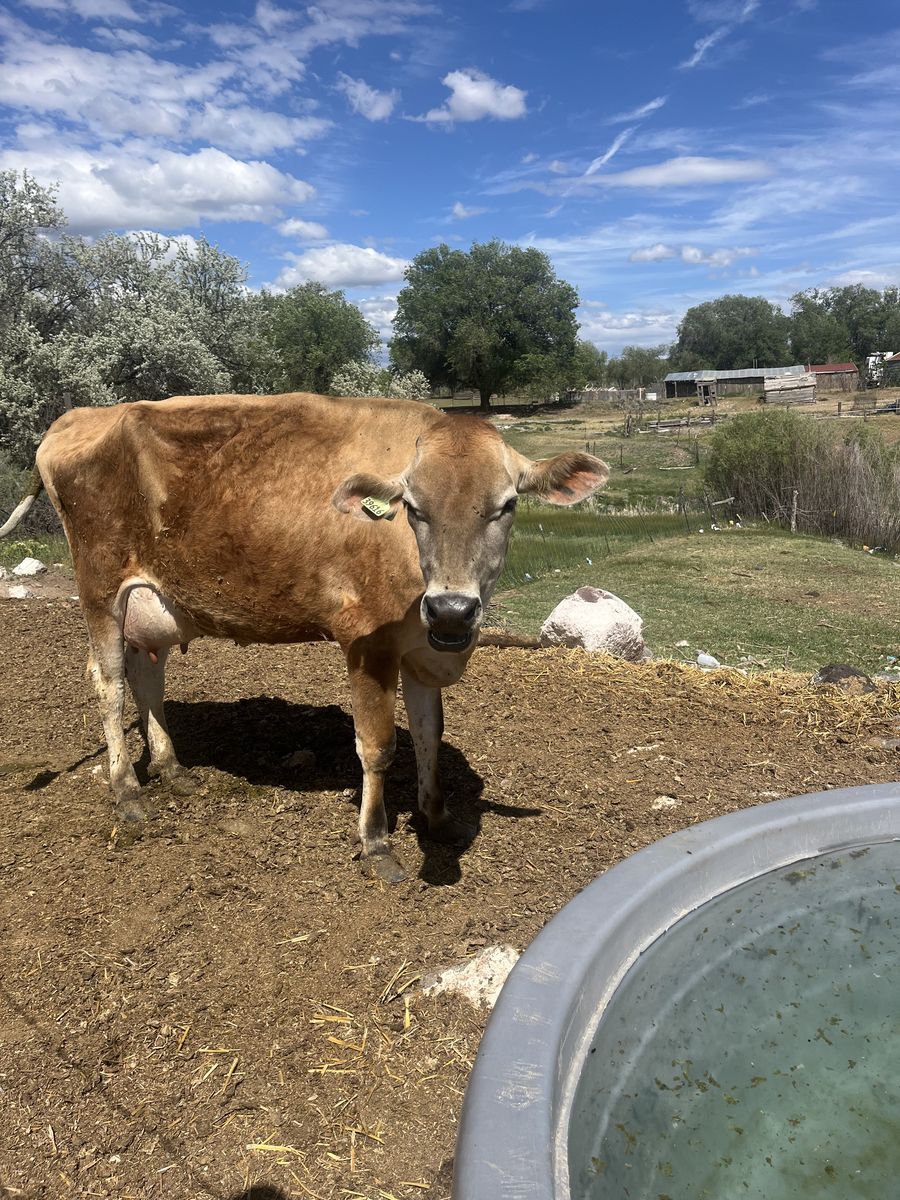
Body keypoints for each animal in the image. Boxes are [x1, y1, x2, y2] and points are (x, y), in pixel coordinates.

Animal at [1, 393, 609, 881]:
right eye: (414, 508)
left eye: (506, 505)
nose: (453, 609)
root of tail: (78, 416)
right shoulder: (368, 642)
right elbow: (378, 746)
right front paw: (377, 843)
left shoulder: (422, 649)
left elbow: (430, 734)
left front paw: (436, 817)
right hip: (100, 585)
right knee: (109, 682)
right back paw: (127, 792)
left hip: (155, 599)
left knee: (147, 673)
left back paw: (174, 771)